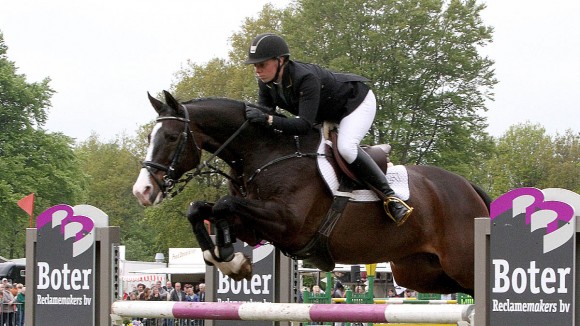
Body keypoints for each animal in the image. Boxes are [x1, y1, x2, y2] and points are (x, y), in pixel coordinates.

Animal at [131, 91, 490, 296]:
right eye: (150, 136)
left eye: (172, 137)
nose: (142, 191)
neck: (266, 152)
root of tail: (467, 186)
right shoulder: (256, 226)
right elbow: (202, 208)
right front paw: (226, 259)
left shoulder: (287, 223)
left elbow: (223, 203)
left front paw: (230, 258)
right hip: (418, 271)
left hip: (459, 262)